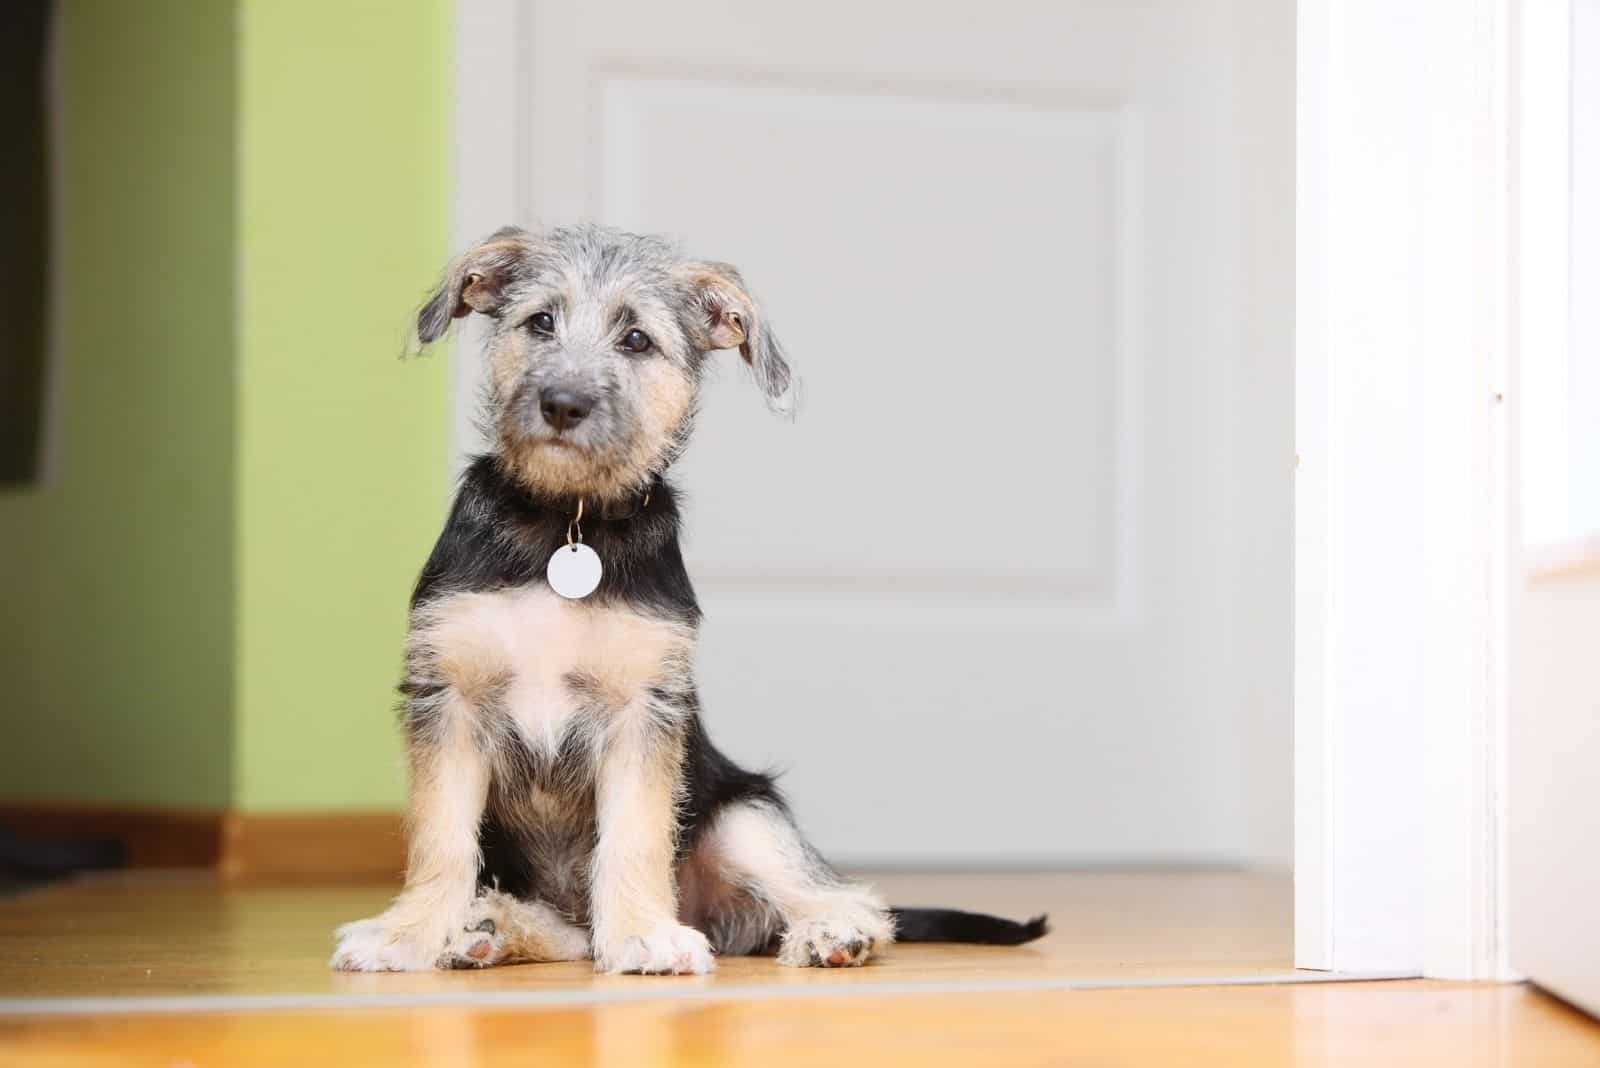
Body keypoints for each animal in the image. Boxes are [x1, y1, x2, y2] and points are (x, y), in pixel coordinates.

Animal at [331, 225, 1043, 978]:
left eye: (637, 340)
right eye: (541, 322)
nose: (563, 404)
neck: (568, 524)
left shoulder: (643, 709)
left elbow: (634, 836)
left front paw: (644, 933)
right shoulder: (448, 698)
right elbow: (440, 837)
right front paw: (406, 932)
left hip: (745, 813)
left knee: (846, 898)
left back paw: (828, 933)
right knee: (572, 932)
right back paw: (491, 927)